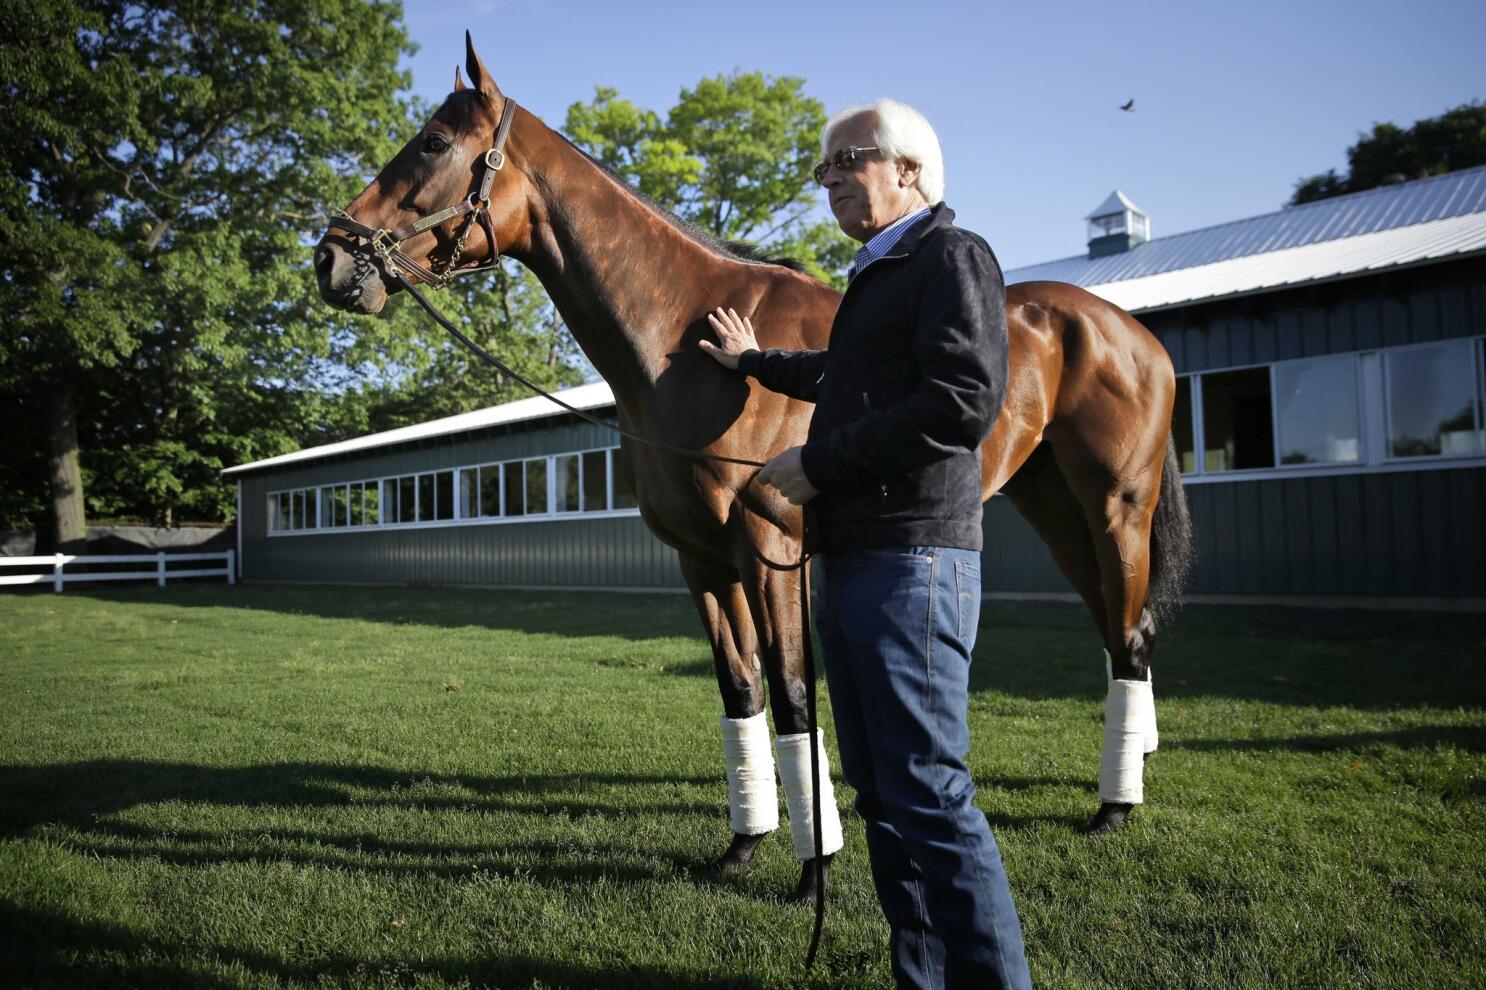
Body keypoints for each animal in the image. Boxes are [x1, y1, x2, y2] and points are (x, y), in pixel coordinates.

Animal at [313, 32, 1194, 891]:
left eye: (432, 143)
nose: (332, 259)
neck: (682, 345)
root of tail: (1130, 332)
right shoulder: (703, 560)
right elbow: (741, 691)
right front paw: (744, 844)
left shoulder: (771, 552)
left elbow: (796, 693)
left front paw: (815, 866)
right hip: (1055, 510)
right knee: (1120, 629)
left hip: (1116, 508)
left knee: (1131, 634)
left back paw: (1114, 807)